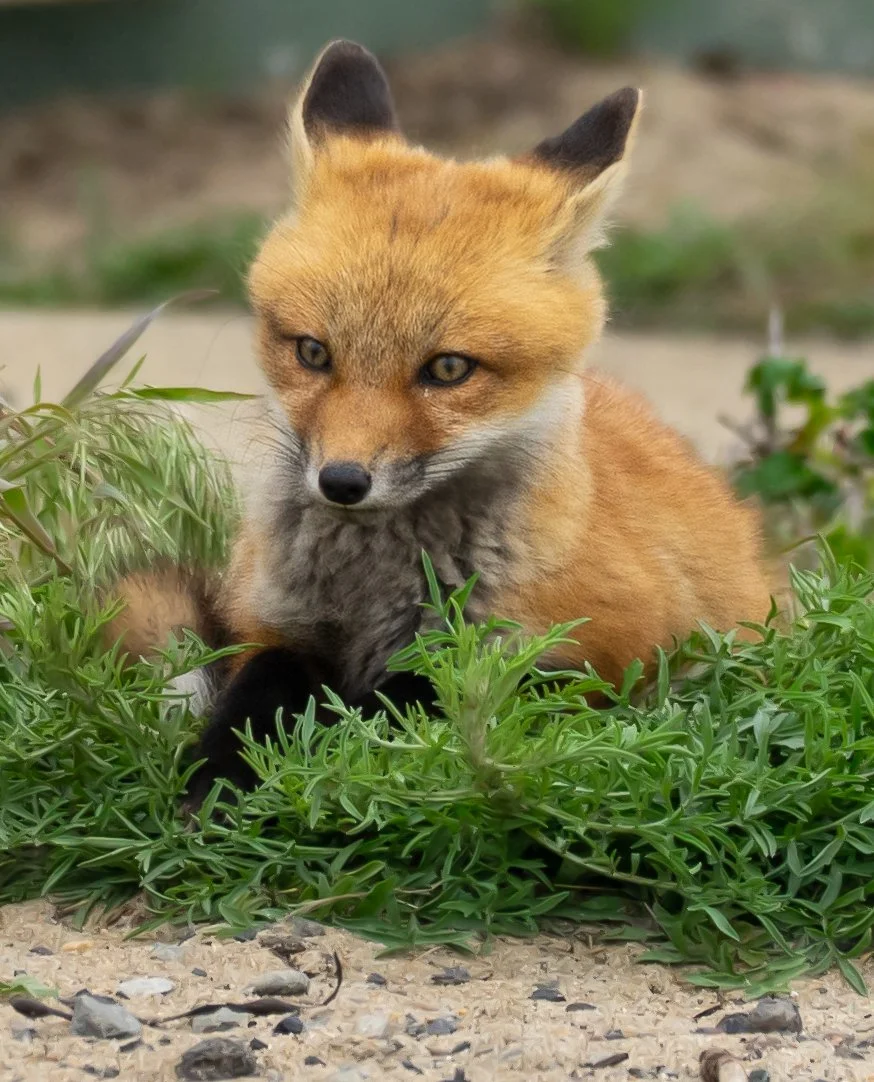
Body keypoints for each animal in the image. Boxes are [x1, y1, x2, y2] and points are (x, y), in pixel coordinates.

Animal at [105, 40, 775, 809]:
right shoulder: (270, 625)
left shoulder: (602, 652)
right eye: (313, 352)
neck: (371, 591)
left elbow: (409, 698)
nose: (342, 482)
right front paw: (218, 777)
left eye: (449, 369)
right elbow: (262, 686)